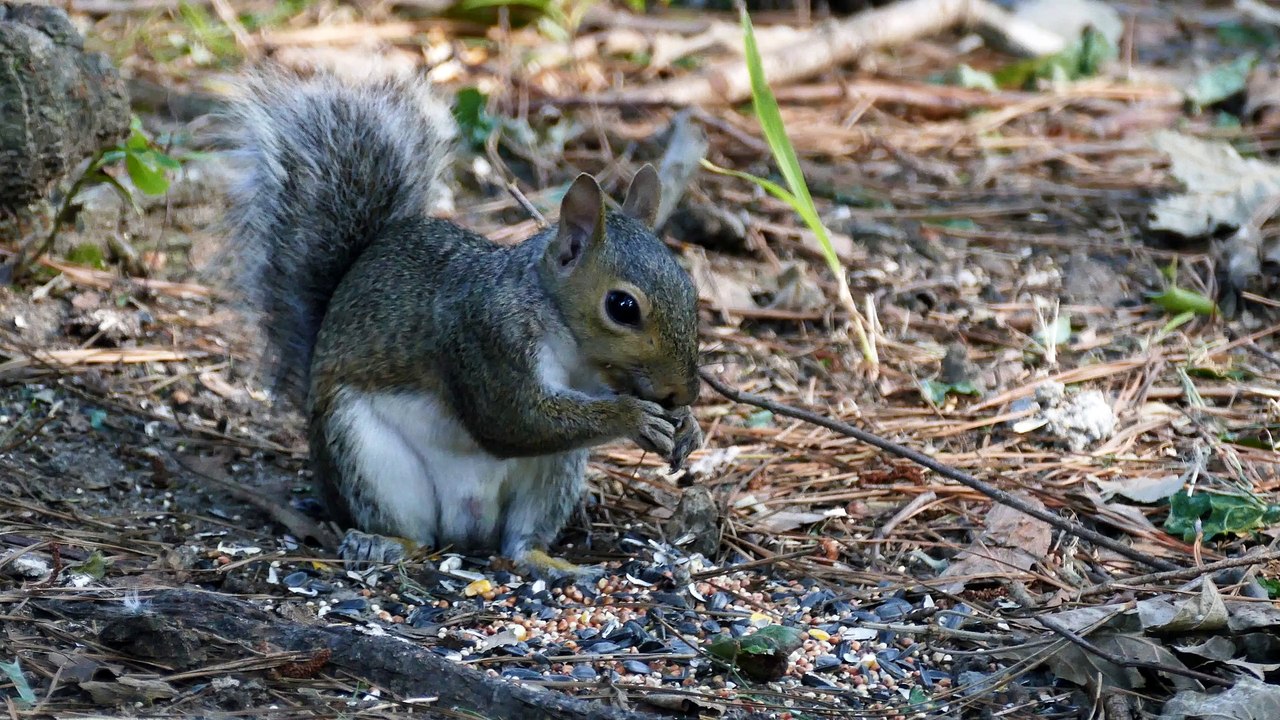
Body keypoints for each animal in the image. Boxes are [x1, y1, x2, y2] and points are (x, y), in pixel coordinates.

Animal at [219, 67, 704, 580]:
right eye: (622, 306)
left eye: (690, 288)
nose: (685, 392)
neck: (565, 335)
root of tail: (467, 526)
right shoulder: (485, 337)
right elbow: (511, 421)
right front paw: (633, 416)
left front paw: (687, 426)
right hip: (364, 453)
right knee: (412, 531)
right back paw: (382, 544)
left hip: (553, 473)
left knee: (520, 540)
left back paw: (553, 563)